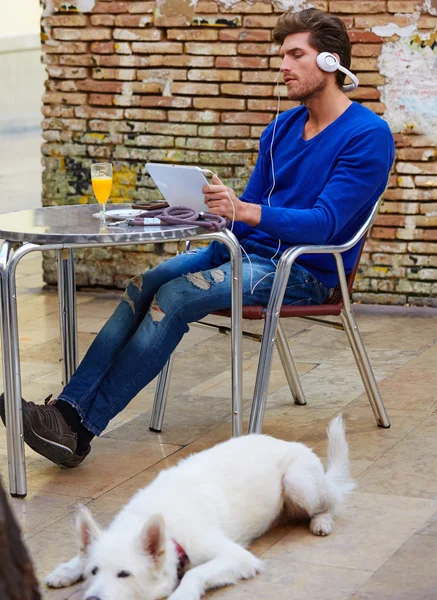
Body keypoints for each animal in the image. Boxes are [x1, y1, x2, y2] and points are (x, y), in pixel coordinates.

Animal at [46, 418, 354, 600]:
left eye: (124, 574)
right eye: (94, 572)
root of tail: (290, 442)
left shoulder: (238, 557)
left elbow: (196, 572)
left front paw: (182, 594)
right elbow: (79, 556)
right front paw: (65, 570)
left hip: (299, 483)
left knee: (333, 500)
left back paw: (322, 521)